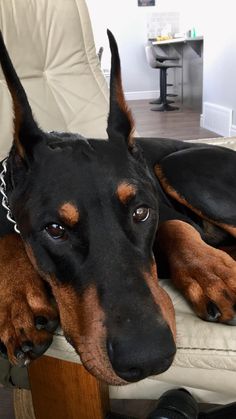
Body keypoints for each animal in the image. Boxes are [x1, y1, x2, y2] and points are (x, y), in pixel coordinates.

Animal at [0, 29, 236, 388]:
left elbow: (175, 226)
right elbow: (9, 236)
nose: (148, 358)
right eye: (55, 229)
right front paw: (17, 301)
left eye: (141, 212)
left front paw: (212, 272)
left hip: (179, 167)